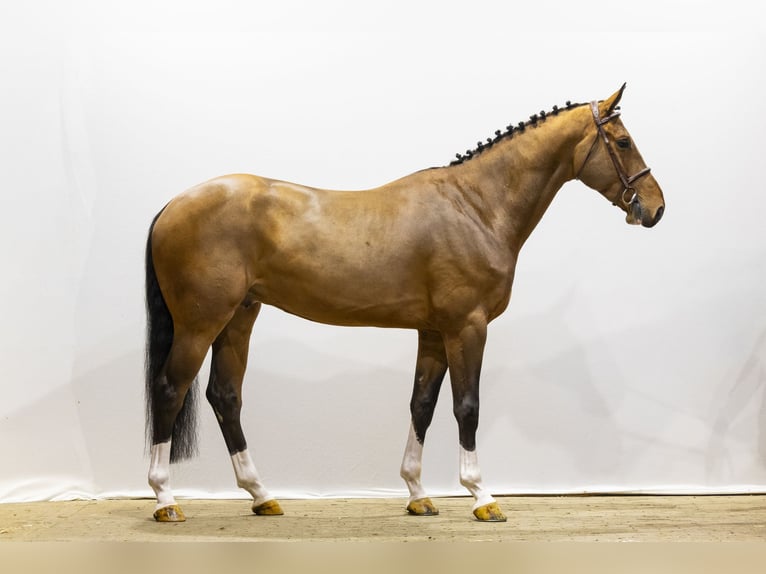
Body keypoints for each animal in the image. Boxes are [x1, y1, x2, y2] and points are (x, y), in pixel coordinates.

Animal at [144, 84, 664, 523]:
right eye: (622, 142)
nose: (655, 208)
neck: (475, 207)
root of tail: (173, 204)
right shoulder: (467, 327)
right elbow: (467, 407)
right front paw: (482, 497)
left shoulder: (434, 332)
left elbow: (422, 405)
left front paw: (418, 495)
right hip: (201, 324)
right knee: (170, 389)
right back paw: (166, 500)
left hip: (239, 318)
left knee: (225, 396)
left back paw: (261, 495)